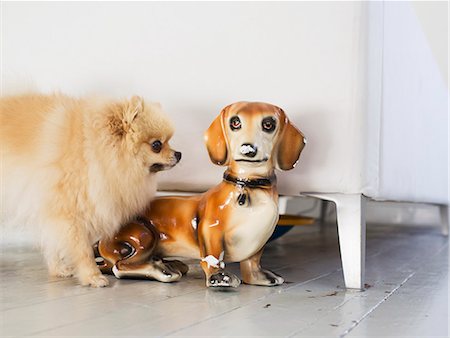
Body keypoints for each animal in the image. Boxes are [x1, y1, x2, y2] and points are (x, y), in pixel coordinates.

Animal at [2, 93, 181, 286]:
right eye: (157, 145)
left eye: (169, 141)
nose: (179, 154)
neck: (92, 151)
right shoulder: (68, 212)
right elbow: (82, 249)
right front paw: (92, 276)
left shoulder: (54, 211)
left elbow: (54, 244)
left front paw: (58, 269)